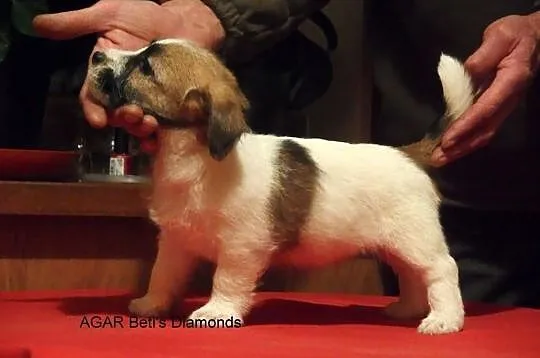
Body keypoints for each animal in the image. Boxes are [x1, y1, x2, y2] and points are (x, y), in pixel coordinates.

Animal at [85, 37, 472, 334]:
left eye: (145, 68)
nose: (97, 54)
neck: (197, 157)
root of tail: (407, 154)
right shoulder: (177, 241)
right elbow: (162, 274)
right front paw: (151, 303)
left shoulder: (241, 248)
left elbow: (227, 280)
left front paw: (218, 311)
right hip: (397, 244)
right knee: (412, 275)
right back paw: (408, 308)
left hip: (416, 238)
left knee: (441, 270)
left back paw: (444, 319)